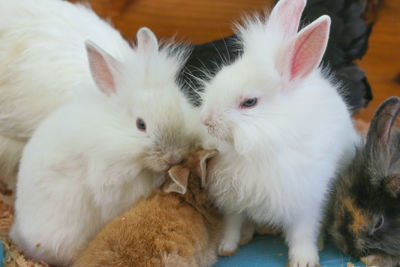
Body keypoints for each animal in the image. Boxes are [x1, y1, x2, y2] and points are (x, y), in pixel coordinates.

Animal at [9, 28, 197, 266]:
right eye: (141, 125)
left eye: (179, 105)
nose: (173, 157)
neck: (115, 132)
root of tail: (17, 234)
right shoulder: (114, 185)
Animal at [198, 0, 360, 267]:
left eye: (249, 102)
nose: (206, 120)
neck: (264, 144)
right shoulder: (234, 200)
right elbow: (232, 224)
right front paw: (226, 247)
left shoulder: (306, 200)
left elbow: (303, 233)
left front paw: (304, 260)